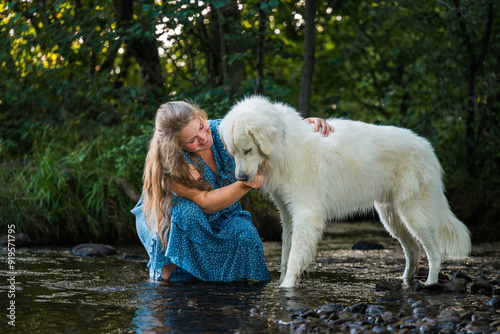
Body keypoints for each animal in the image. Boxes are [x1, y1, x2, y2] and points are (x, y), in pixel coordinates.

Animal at [219, 95, 468, 288]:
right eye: (232, 153)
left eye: (247, 150)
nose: (241, 179)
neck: (284, 143)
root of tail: (428, 147)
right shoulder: (288, 215)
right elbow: (284, 255)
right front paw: (281, 282)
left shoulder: (305, 213)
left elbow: (294, 257)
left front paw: (286, 286)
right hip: (391, 218)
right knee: (414, 250)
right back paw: (405, 281)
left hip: (414, 214)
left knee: (435, 253)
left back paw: (430, 284)